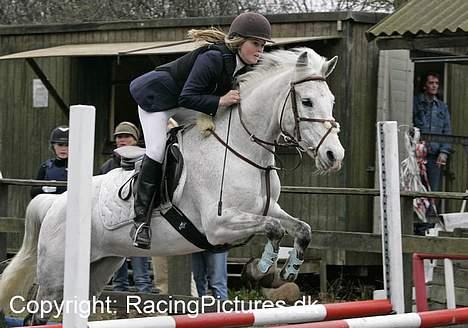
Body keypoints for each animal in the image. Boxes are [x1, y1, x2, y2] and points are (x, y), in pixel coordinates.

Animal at [0, 47, 344, 324]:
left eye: (331, 101)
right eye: (307, 101)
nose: (334, 155)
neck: (240, 146)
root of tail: (55, 202)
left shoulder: (266, 208)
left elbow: (300, 228)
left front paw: (287, 271)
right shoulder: (218, 225)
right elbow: (273, 228)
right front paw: (263, 269)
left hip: (98, 267)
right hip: (54, 275)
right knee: (37, 315)